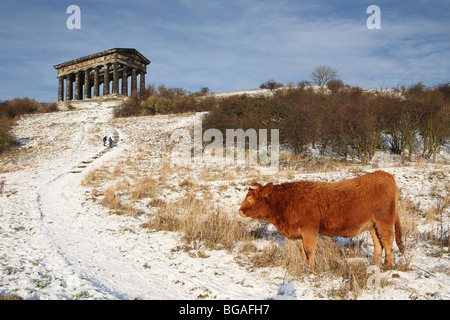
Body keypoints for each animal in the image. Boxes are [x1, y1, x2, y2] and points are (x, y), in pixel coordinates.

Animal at [237, 171, 406, 268]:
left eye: (250, 198)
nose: (240, 211)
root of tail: (384, 174)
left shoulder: (309, 229)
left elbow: (309, 249)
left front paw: (311, 269)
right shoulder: (299, 232)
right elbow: (302, 250)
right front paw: (305, 264)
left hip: (384, 223)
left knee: (388, 242)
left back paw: (388, 266)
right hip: (372, 225)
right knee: (379, 244)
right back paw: (374, 265)